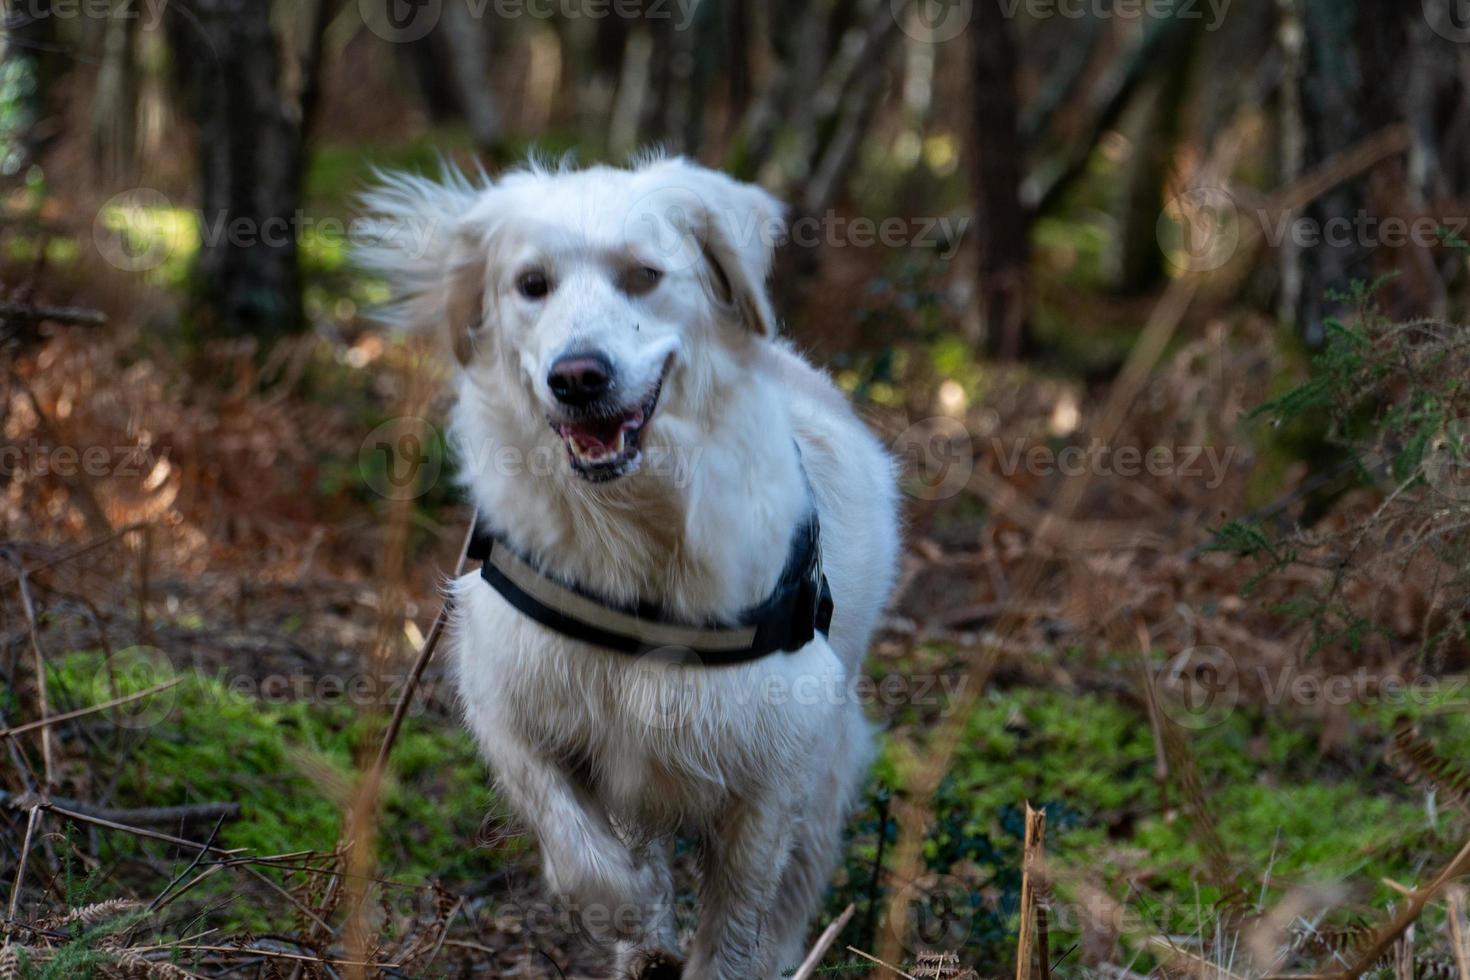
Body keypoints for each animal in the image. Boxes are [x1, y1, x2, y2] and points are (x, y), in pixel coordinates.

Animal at [361, 157, 899, 975]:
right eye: (532, 284)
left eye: (645, 275)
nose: (578, 376)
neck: (633, 527)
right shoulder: (510, 693)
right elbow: (577, 843)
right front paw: (630, 912)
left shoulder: (773, 763)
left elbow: (738, 920)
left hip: (829, 754)